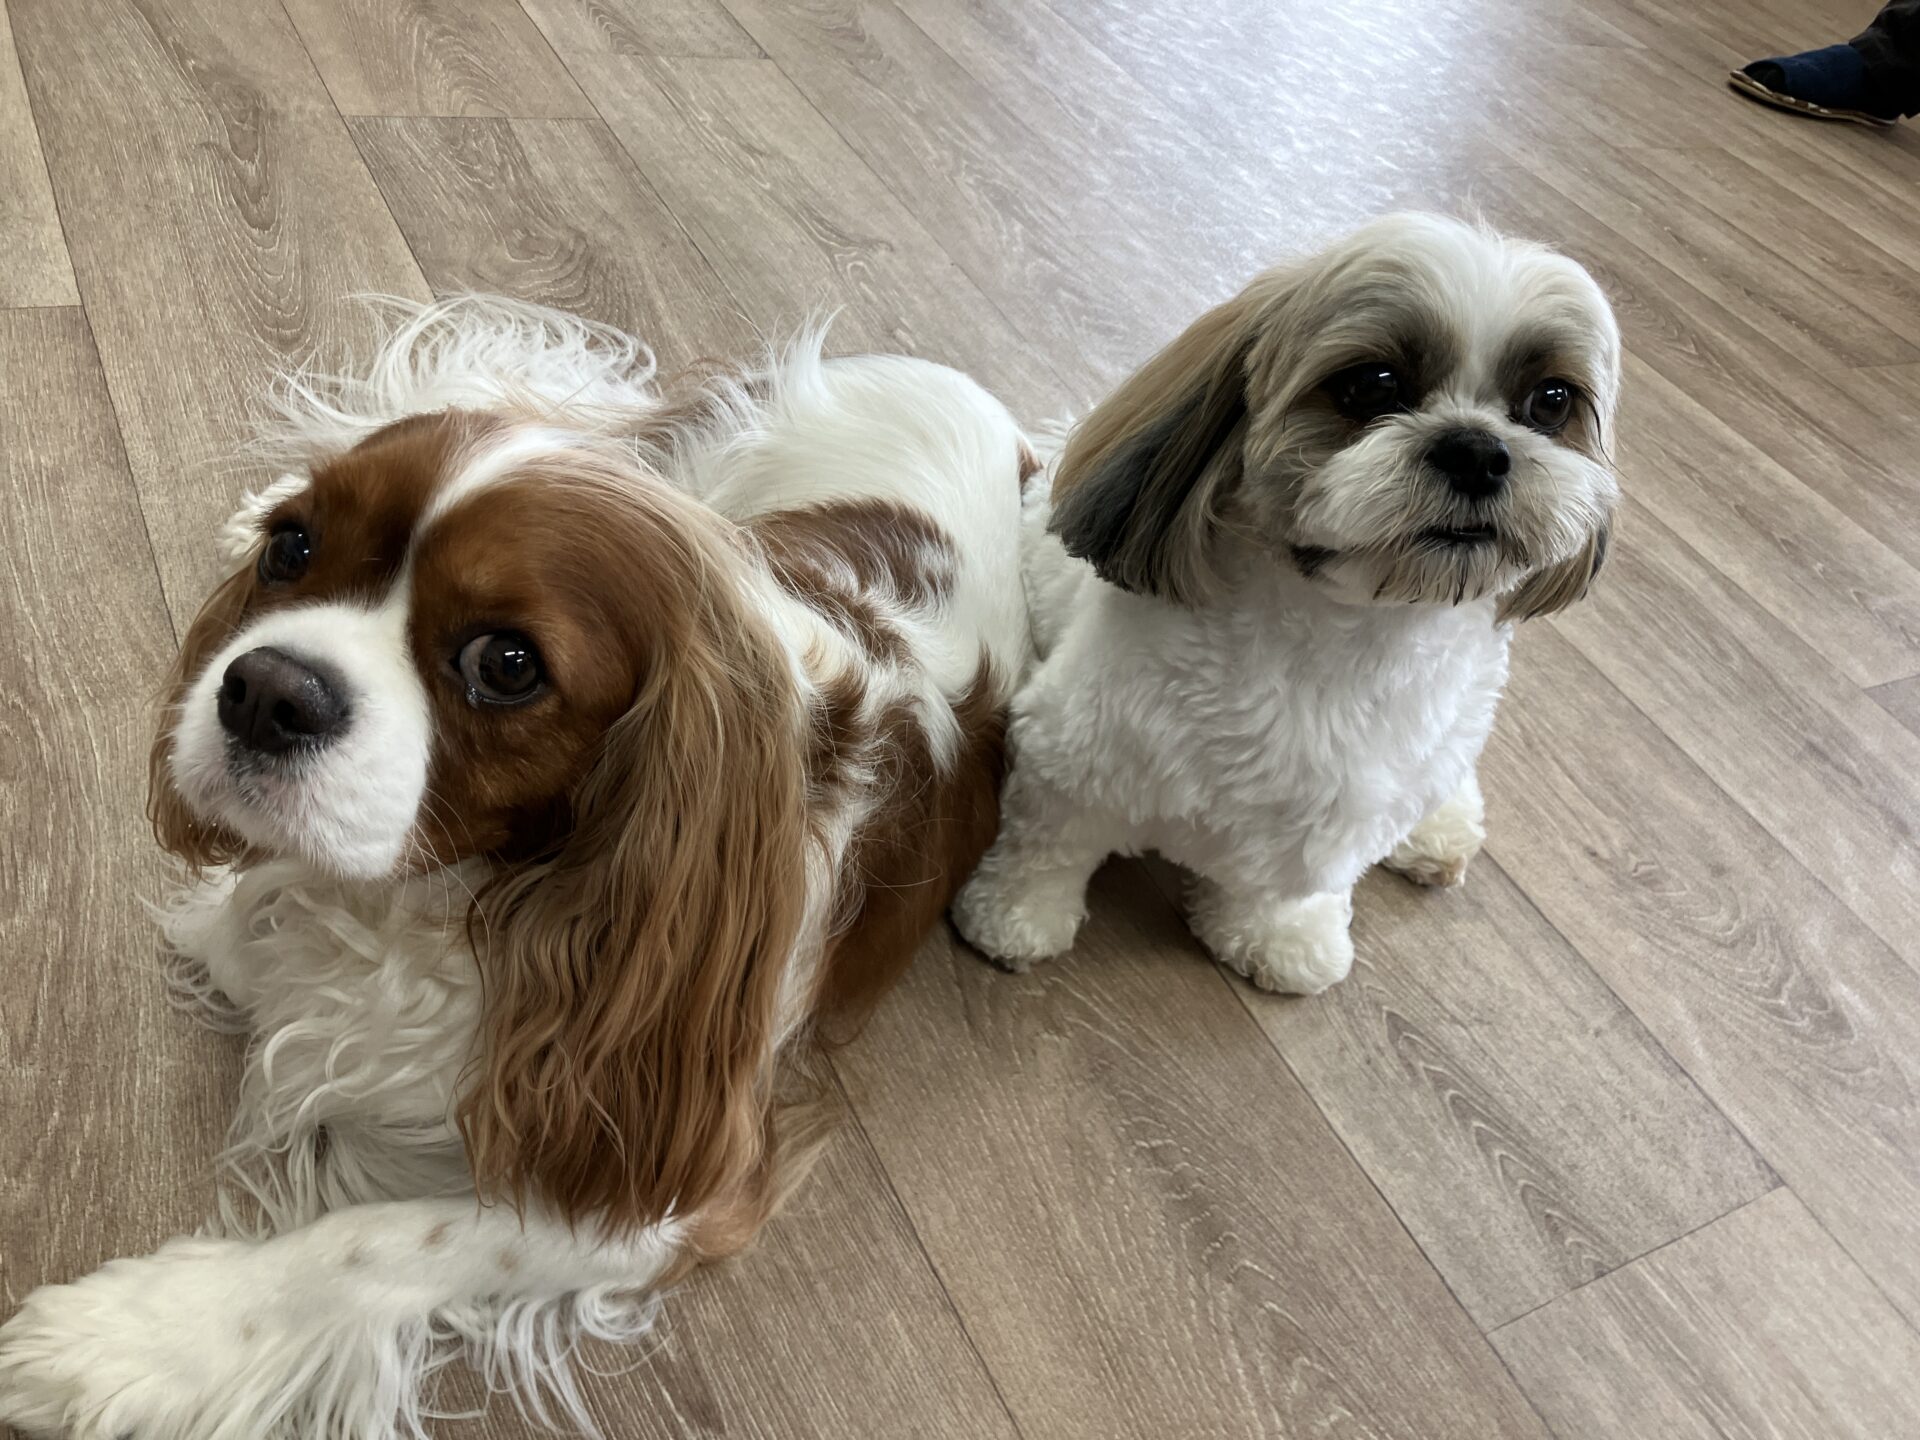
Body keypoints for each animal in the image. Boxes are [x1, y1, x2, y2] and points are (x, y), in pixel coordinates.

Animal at [0, 298, 1032, 1439]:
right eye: (293, 551)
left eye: (505, 664)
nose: (264, 690)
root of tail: (996, 415)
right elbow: (253, 939)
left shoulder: (665, 1179)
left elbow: (376, 1240)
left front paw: (139, 1338)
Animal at [952, 214, 1620, 994]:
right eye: (1372, 384)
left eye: (1551, 401)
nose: (1478, 451)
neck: (1349, 643)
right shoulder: (1074, 756)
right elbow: (1047, 846)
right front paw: (1015, 916)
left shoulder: (1333, 820)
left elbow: (1281, 886)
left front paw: (1279, 939)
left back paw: (1439, 827)